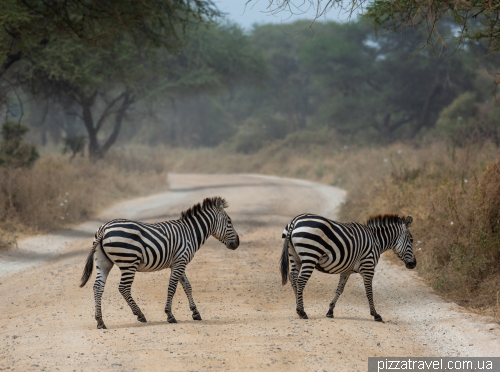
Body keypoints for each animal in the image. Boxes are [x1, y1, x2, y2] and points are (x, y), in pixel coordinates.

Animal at [80, 195, 240, 328]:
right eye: (229, 221)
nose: (237, 243)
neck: (190, 233)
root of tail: (104, 228)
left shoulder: (178, 263)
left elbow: (187, 286)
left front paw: (195, 312)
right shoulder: (180, 261)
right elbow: (172, 288)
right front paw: (170, 315)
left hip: (103, 262)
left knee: (97, 287)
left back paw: (100, 321)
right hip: (129, 262)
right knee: (123, 288)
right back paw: (140, 315)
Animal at [280, 214, 416, 322]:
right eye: (411, 240)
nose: (414, 264)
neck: (376, 240)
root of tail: (295, 221)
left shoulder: (347, 270)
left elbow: (339, 289)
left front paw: (330, 311)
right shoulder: (368, 266)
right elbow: (369, 291)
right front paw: (375, 314)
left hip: (295, 257)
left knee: (293, 278)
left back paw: (298, 307)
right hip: (310, 255)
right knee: (301, 281)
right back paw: (302, 311)